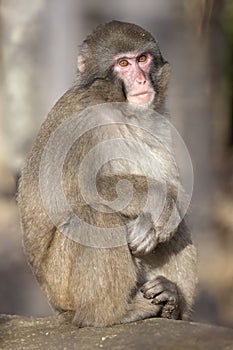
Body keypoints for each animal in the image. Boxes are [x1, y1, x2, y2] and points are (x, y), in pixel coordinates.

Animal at [17, 21, 198, 328]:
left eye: (142, 59)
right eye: (123, 63)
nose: (141, 81)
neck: (118, 107)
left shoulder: (159, 120)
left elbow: (172, 187)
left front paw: (152, 224)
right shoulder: (79, 125)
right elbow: (84, 189)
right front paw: (158, 201)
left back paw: (174, 302)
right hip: (60, 283)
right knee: (96, 214)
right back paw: (111, 313)